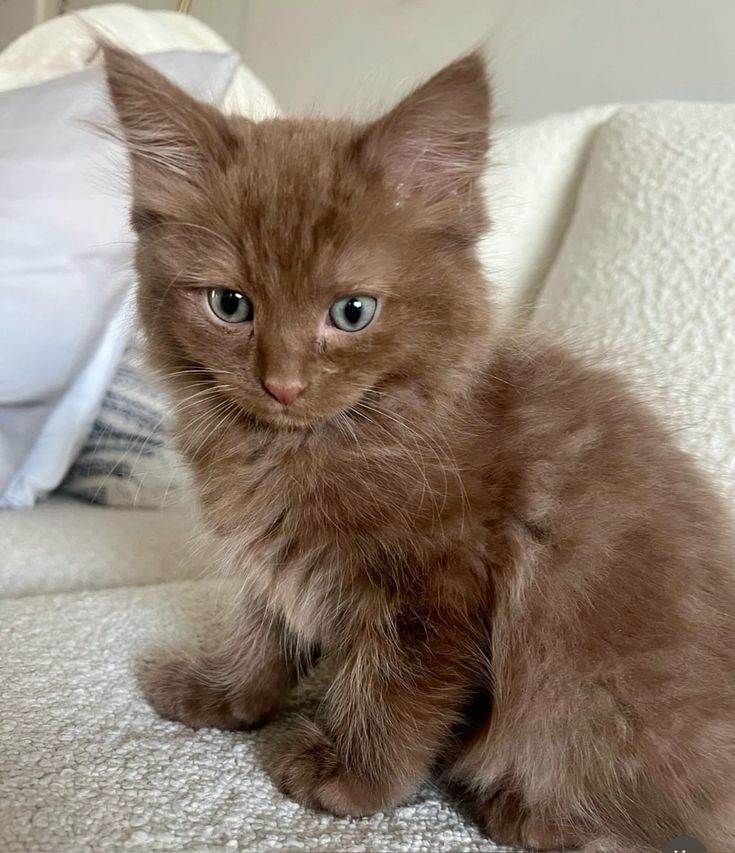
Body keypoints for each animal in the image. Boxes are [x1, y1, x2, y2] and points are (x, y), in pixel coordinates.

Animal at [103, 48, 735, 852]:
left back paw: (529, 811)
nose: (282, 384)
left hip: (584, 684)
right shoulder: (271, 565)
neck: (305, 450)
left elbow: (398, 687)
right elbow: (263, 636)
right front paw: (220, 695)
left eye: (352, 312)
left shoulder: (438, 585)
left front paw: (349, 775)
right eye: (229, 304)